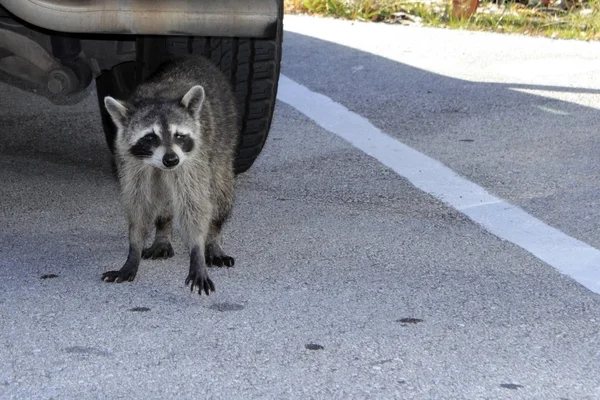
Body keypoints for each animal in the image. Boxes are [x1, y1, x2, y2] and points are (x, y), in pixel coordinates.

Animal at [101, 54, 239, 296]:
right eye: (150, 137)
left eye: (179, 135)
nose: (171, 160)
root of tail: (196, 57)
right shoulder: (130, 163)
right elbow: (138, 205)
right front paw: (134, 248)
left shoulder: (192, 160)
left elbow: (194, 204)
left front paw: (197, 250)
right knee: (162, 199)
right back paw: (163, 230)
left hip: (224, 142)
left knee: (220, 193)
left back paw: (213, 237)